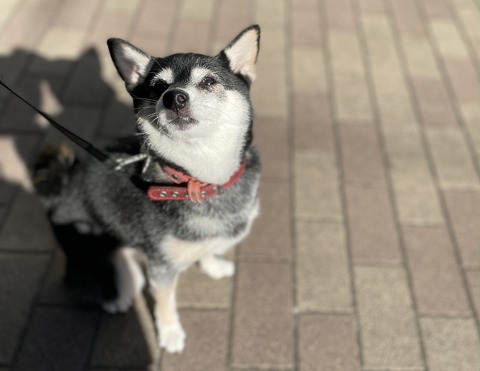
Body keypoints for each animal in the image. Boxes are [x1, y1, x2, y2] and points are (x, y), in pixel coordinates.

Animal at [34, 24, 262, 354]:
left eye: (208, 81)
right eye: (157, 87)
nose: (174, 97)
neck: (199, 180)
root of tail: (60, 185)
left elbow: (206, 248)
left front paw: (212, 265)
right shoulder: (161, 267)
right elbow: (165, 302)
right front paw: (170, 334)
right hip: (91, 250)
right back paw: (117, 296)